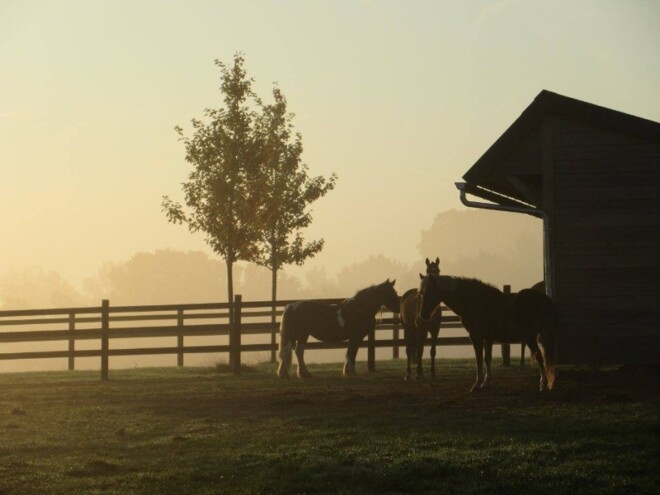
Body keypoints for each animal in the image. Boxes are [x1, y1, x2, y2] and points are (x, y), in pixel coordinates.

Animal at [418, 275, 556, 392]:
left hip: (530, 337)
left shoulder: (476, 336)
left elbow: (479, 359)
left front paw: (477, 384)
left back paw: (543, 384)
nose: (422, 315)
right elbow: (487, 358)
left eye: (429, 292)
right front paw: (487, 382)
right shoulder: (488, 338)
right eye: (421, 293)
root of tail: (545, 300)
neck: (475, 301)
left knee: (539, 356)